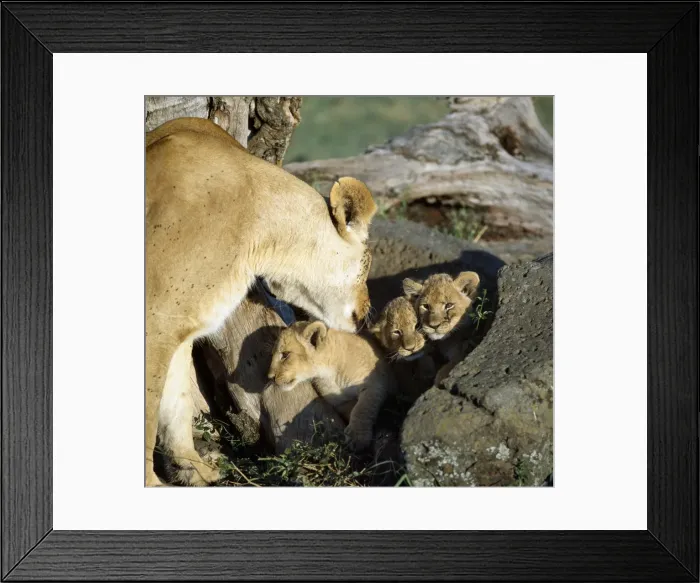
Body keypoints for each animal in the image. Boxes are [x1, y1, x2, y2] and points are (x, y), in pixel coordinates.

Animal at [146, 118, 376, 486]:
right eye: (368, 261)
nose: (368, 308)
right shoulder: (154, 322)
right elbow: (146, 416)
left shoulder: (176, 328)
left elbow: (175, 404)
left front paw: (193, 470)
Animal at [267, 320, 396, 451]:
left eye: (285, 354)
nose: (270, 377)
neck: (329, 373)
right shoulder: (339, 402)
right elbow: (352, 410)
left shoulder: (375, 384)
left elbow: (363, 408)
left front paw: (357, 437)